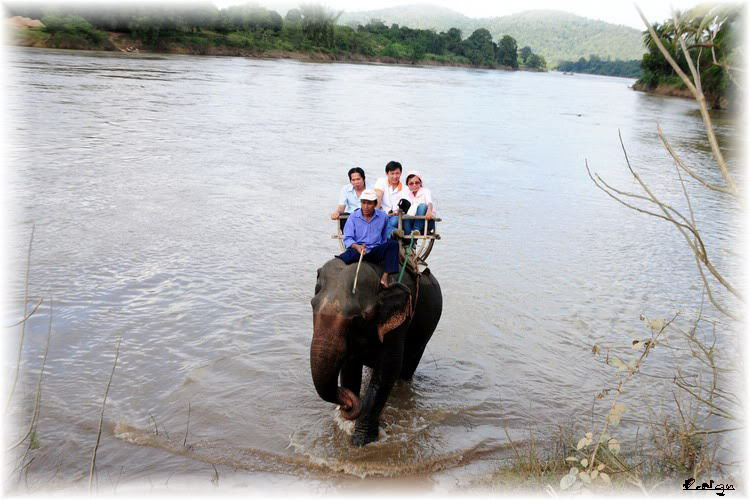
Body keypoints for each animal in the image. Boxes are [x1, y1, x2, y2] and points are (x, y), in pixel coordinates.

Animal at [310, 256, 440, 448]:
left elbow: (389, 366)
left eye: (356, 318)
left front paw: (362, 441)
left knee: (407, 369)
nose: (347, 405)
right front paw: (347, 427)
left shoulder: (399, 320)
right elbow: (350, 365)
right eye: (312, 305)